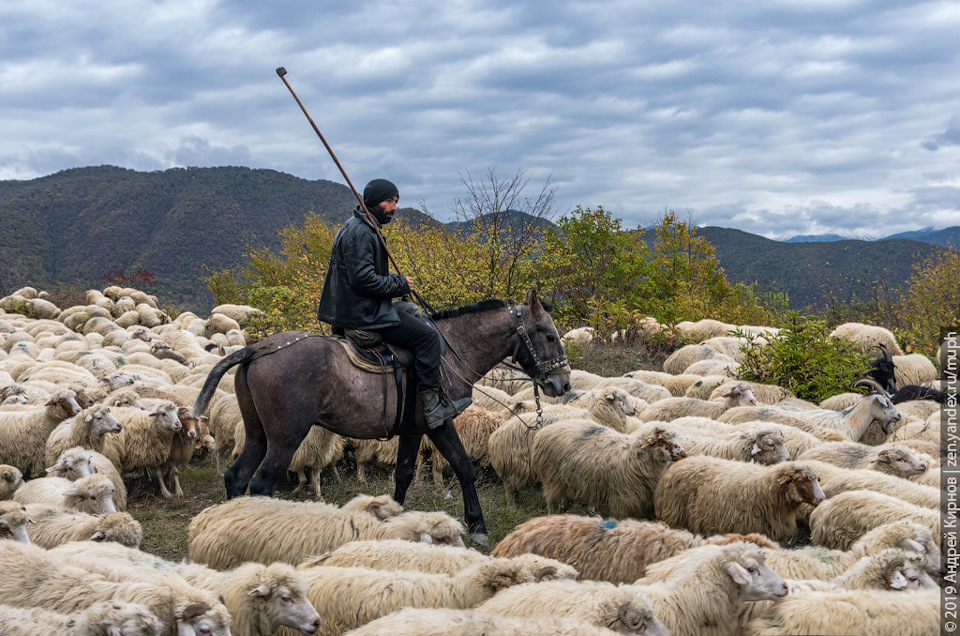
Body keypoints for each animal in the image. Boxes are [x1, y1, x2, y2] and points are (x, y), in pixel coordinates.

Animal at [528, 422, 688, 516]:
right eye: (663, 441)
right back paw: (552, 514)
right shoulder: (622, 497)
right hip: (551, 477)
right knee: (550, 500)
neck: (633, 455)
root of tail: (545, 430)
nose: (683, 454)